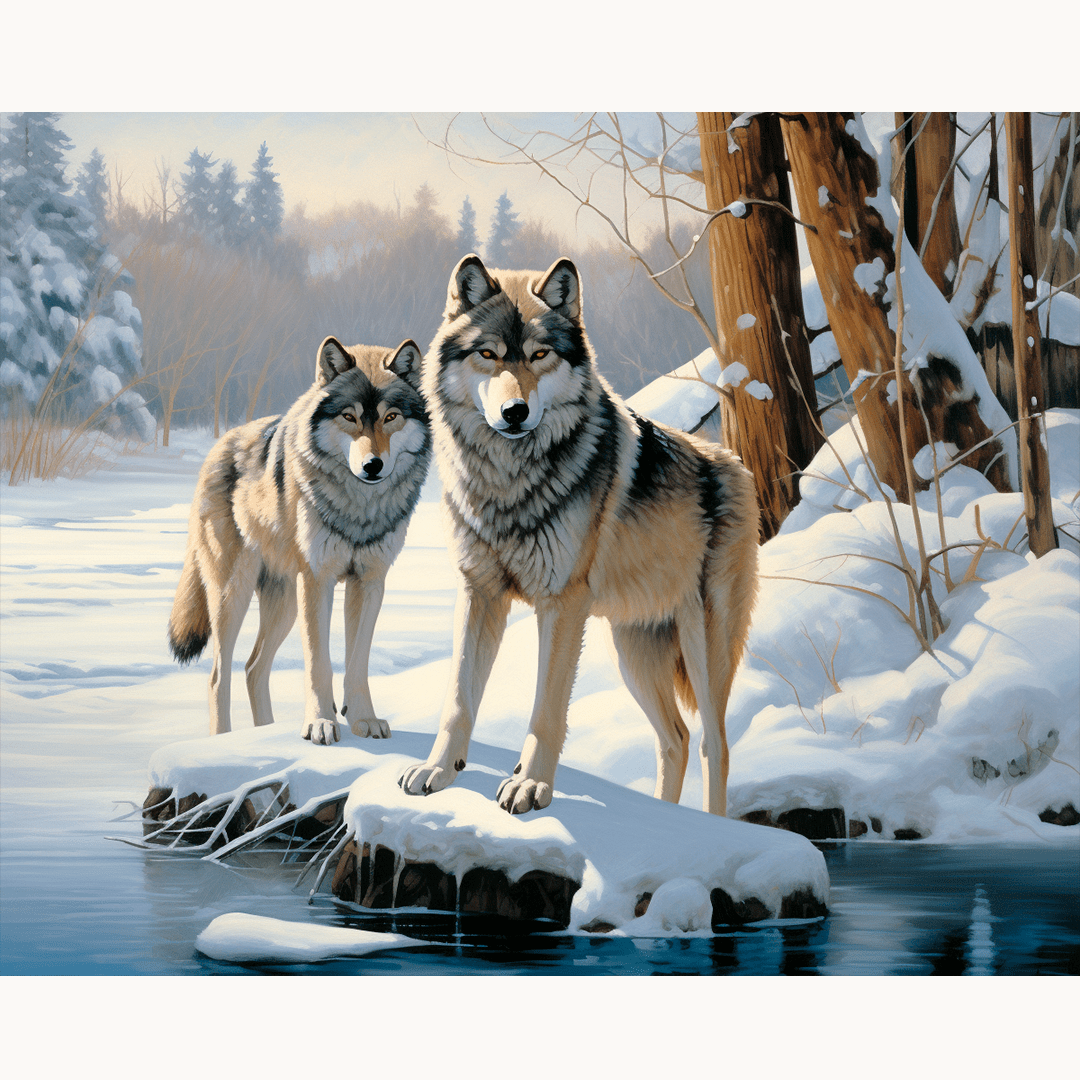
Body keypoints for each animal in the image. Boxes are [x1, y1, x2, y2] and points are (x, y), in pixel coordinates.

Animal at [168, 336, 431, 744]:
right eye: (350, 417)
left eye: (391, 417)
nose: (373, 466)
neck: (359, 509)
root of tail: (219, 444)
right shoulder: (317, 581)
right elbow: (318, 663)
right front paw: (320, 724)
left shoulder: (370, 582)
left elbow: (358, 663)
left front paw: (364, 721)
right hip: (233, 596)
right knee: (218, 676)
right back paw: (222, 741)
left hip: (285, 603)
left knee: (253, 668)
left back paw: (265, 731)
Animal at [399, 254, 759, 815]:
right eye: (488, 354)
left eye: (540, 354)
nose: (515, 413)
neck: (508, 483)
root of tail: (734, 463)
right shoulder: (478, 591)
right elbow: (458, 698)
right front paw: (437, 771)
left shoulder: (562, 604)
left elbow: (546, 711)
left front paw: (530, 787)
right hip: (631, 650)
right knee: (675, 739)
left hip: (704, 645)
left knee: (713, 744)